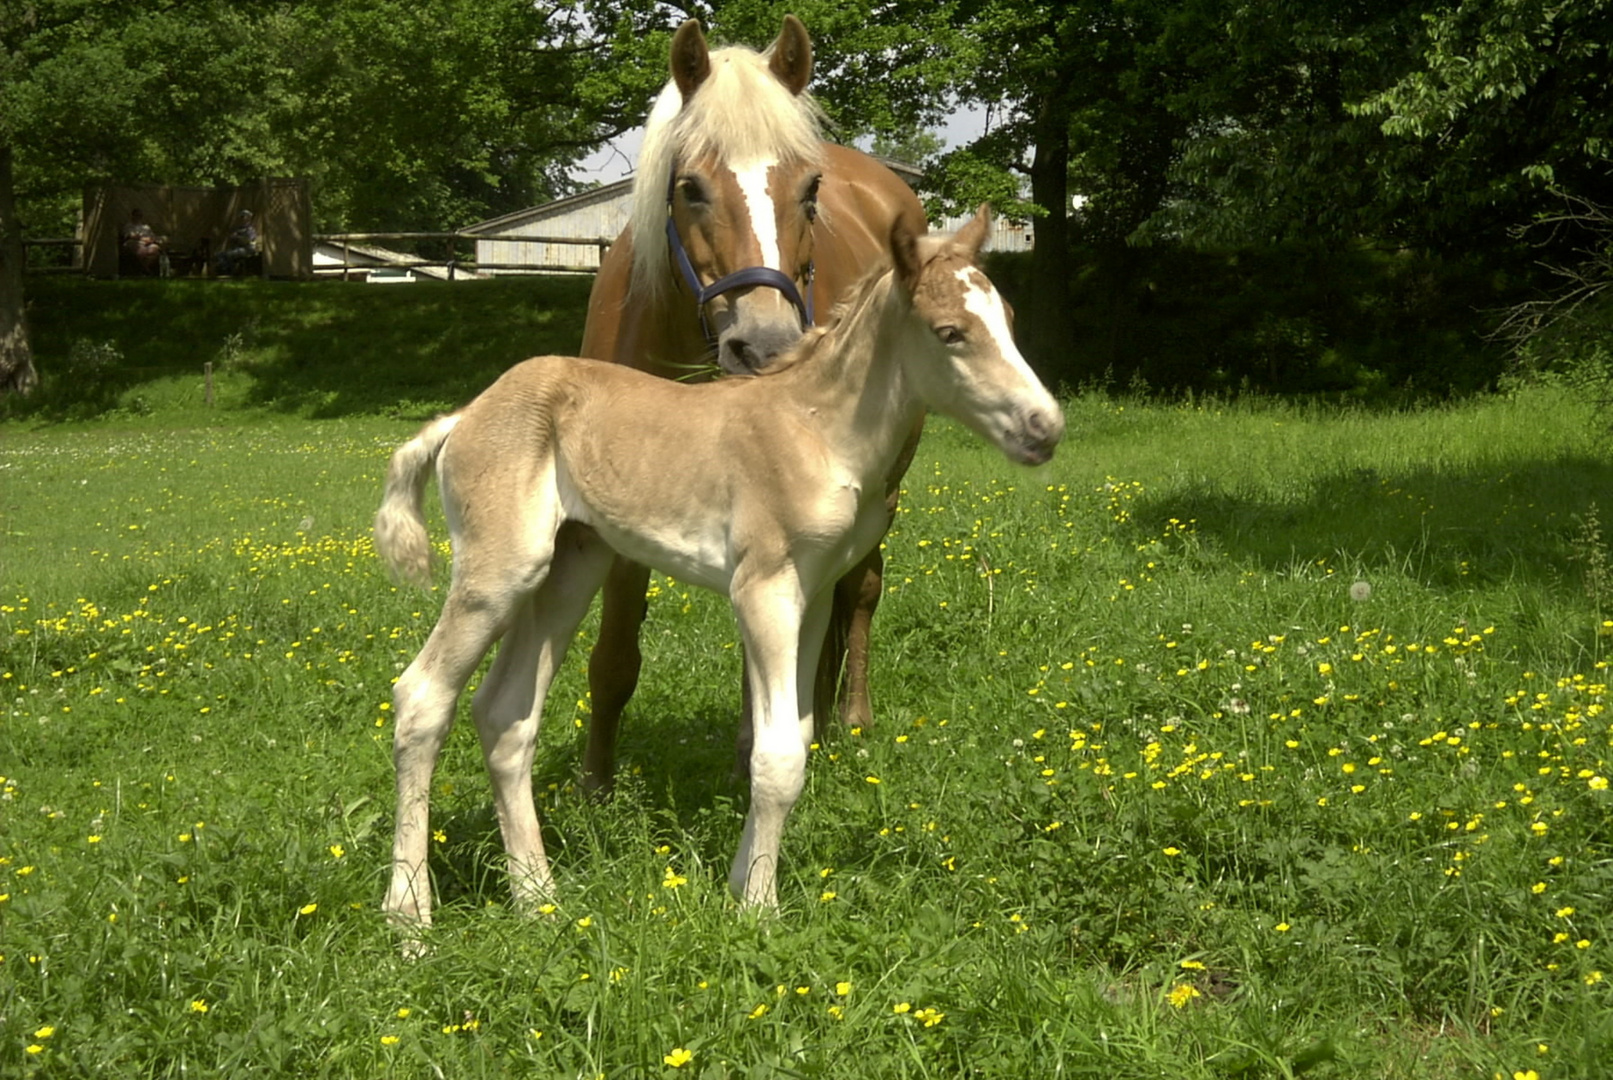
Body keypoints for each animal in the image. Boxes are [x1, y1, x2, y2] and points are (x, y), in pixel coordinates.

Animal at [370, 207, 1064, 934]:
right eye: (949, 332)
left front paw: (740, 883)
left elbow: (797, 732)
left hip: (568, 568)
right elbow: (778, 754)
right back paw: (409, 916)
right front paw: (758, 909)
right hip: (499, 571)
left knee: (506, 714)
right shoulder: (764, 588)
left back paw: (538, 899)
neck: (818, 430)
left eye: (1009, 318)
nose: (1044, 427)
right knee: (422, 696)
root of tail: (462, 416)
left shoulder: (815, 595)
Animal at [580, 14, 929, 796]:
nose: (764, 344)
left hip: (882, 489)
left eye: (809, 189)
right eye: (689, 188)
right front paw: (595, 784)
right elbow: (615, 648)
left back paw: (848, 717)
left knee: (861, 590)